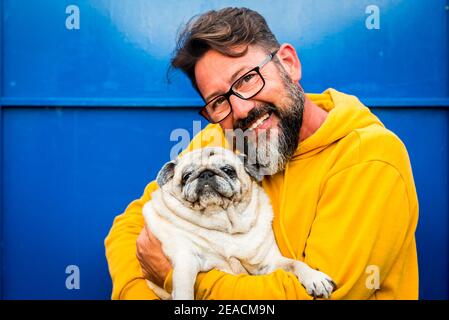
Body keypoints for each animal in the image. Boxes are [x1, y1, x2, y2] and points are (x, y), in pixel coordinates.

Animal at [142, 148, 334, 300]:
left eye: (228, 170)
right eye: (187, 176)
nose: (205, 173)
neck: (224, 223)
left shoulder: (268, 263)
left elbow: (295, 263)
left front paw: (314, 277)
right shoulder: (186, 260)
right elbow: (184, 291)